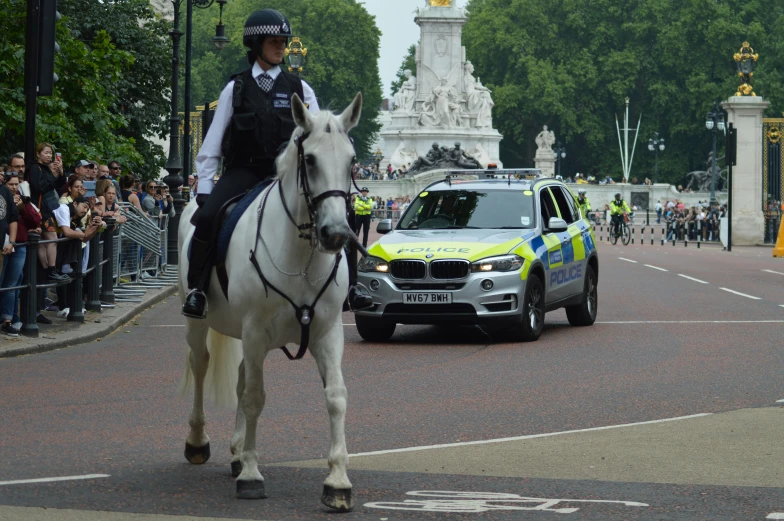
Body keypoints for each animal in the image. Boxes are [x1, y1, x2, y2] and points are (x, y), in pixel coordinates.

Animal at [178, 91, 362, 510]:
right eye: (310, 160)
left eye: (351, 160)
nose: (336, 234)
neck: (301, 256)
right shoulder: (255, 330)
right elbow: (255, 398)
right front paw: (251, 473)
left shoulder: (327, 332)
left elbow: (336, 396)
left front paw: (337, 481)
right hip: (200, 322)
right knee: (201, 364)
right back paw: (199, 441)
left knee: (241, 376)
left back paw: (235, 451)